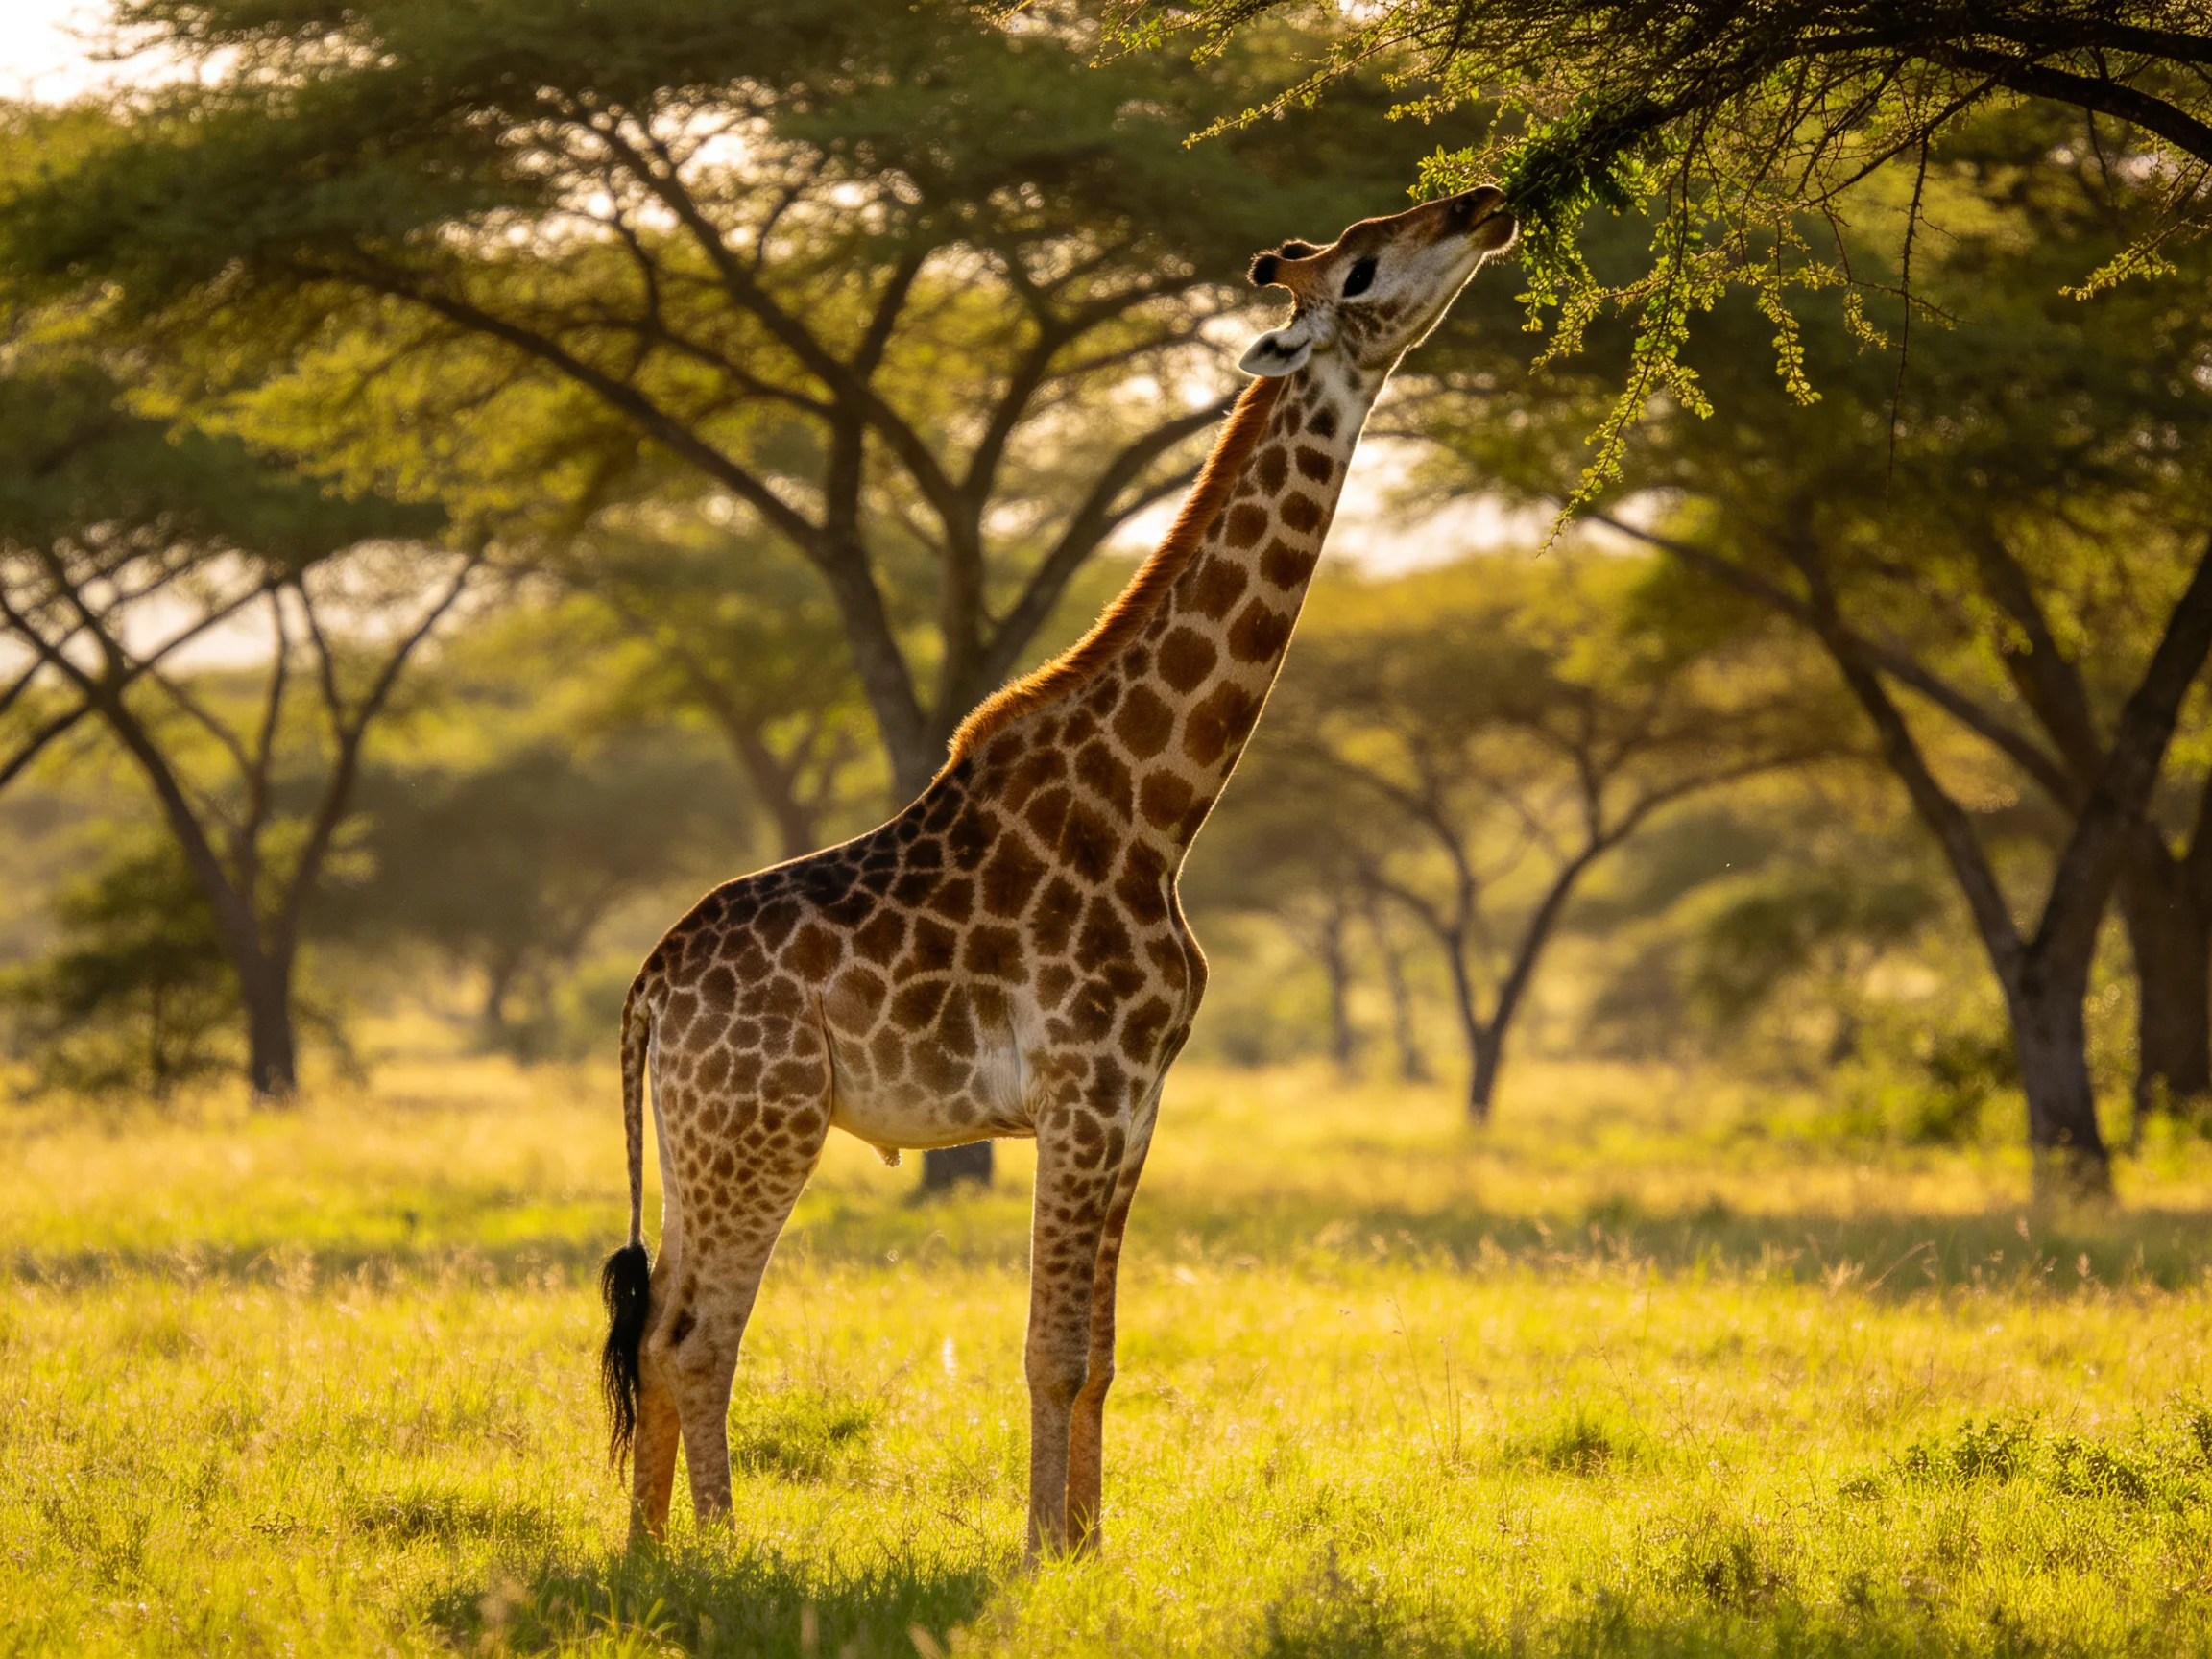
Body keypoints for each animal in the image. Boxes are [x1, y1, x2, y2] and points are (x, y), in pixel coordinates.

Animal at [598, 185, 1519, 1558]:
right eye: (1362, 265)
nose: (1485, 202)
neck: (1157, 807)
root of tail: (650, 987)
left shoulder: (1138, 1100)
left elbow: (1103, 1353)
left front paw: (1088, 1546)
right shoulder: (1085, 1088)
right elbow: (1051, 1350)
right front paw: (1040, 1551)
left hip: (699, 1132)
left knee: (657, 1328)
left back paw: (653, 1550)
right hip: (763, 1125)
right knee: (696, 1338)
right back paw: (721, 1553)